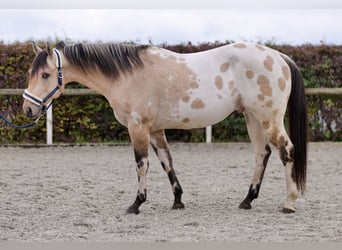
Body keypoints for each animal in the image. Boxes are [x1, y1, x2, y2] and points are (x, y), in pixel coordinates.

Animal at [22, 40, 308, 213]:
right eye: (30, 74)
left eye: (45, 75)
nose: (28, 109)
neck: (128, 74)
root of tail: (278, 56)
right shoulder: (155, 130)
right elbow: (166, 162)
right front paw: (178, 200)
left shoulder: (138, 127)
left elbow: (142, 164)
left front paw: (136, 204)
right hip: (253, 118)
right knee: (262, 154)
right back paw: (247, 199)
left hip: (269, 118)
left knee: (286, 150)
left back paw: (289, 202)